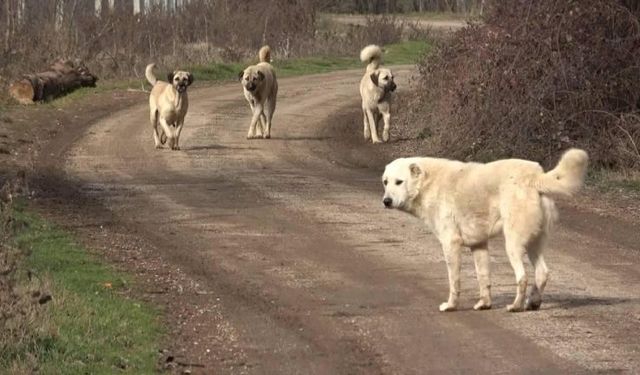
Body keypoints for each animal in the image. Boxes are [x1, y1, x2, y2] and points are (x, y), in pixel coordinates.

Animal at [380, 151, 592, 314]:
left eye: (399, 182)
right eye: (385, 182)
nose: (386, 201)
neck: (427, 183)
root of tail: (534, 176)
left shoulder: (451, 244)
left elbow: (454, 281)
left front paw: (451, 306)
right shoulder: (479, 245)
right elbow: (483, 278)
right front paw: (484, 304)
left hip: (513, 245)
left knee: (522, 277)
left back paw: (515, 307)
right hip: (534, 243)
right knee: (542, 273)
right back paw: (533, 303)